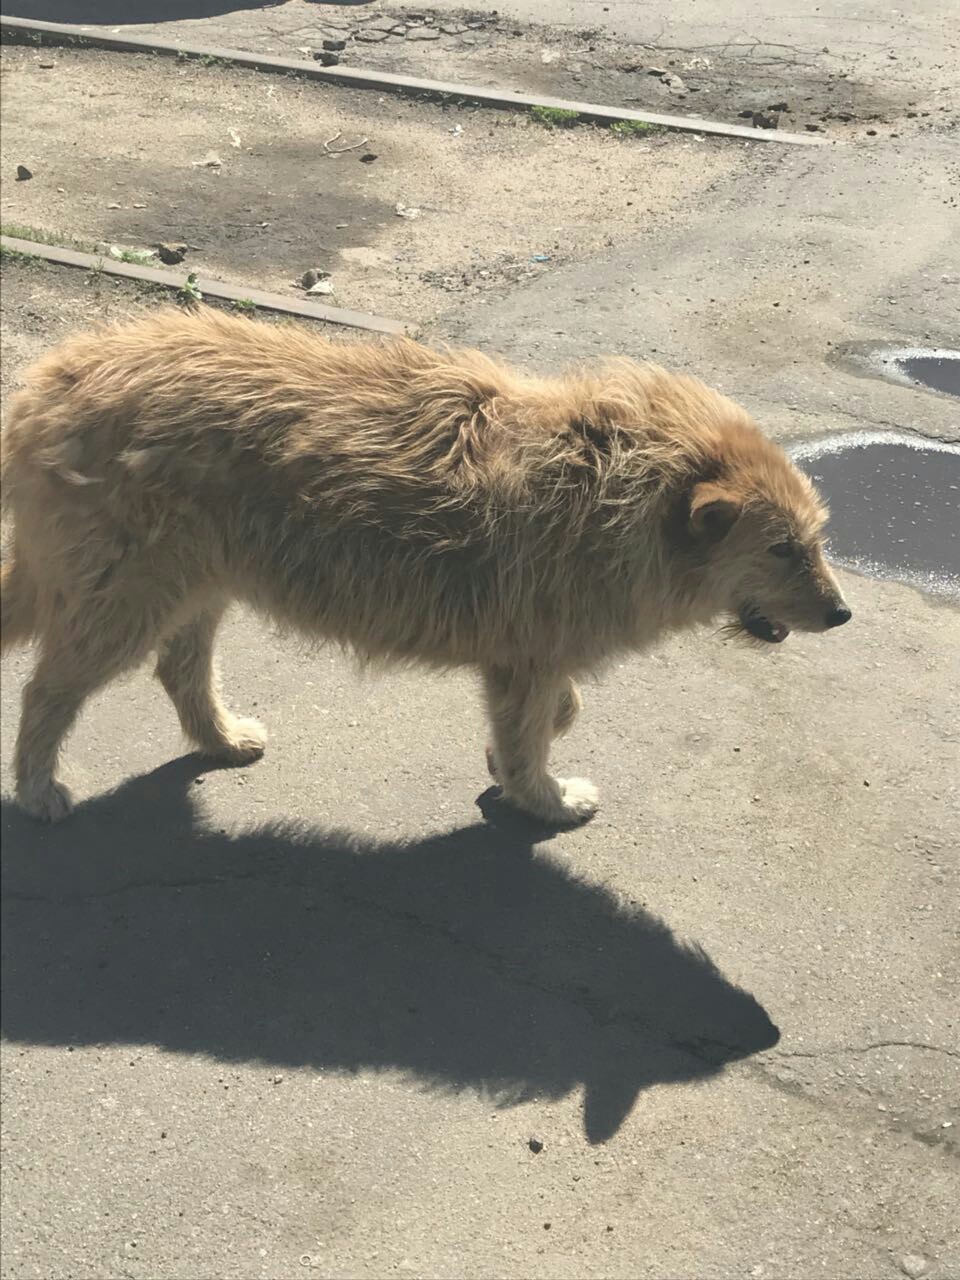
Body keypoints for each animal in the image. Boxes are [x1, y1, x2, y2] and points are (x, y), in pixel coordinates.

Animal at [0, 312, 855, 829]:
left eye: (817, 540)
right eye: (782, 549)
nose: (842, 613)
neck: (626, 483)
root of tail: (45, 384)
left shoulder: (530, 648)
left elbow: (554, 712)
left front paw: (517, 761)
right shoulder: (529, 653)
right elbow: (533, 735)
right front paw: (544, 798)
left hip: (202, 581)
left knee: (180, 667)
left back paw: (219, 736)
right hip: (125, 595)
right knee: (48, 689)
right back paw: (38, 785)